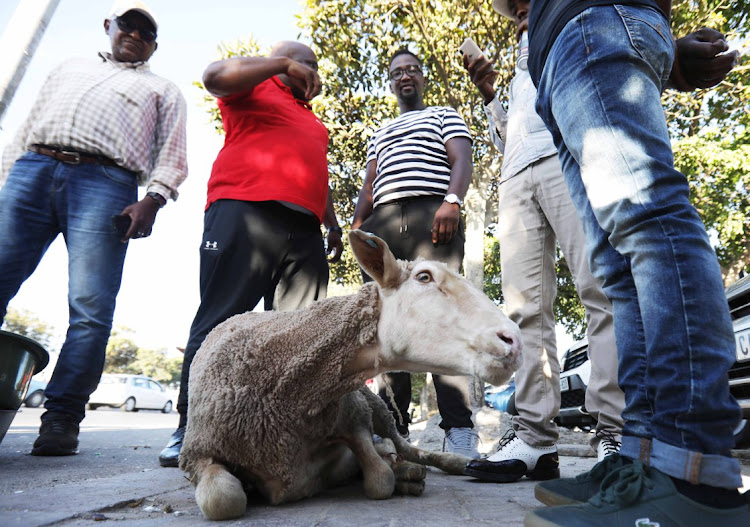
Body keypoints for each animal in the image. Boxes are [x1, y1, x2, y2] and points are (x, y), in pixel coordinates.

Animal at [181, 230, 524, 520]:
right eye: (424, 277)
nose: (514, 340)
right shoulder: (196, 452)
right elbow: (223, 500)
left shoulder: (356, 413)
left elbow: (380, 478)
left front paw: (391, 472)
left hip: (378, 407)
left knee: (407, 448)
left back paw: (441, 464)